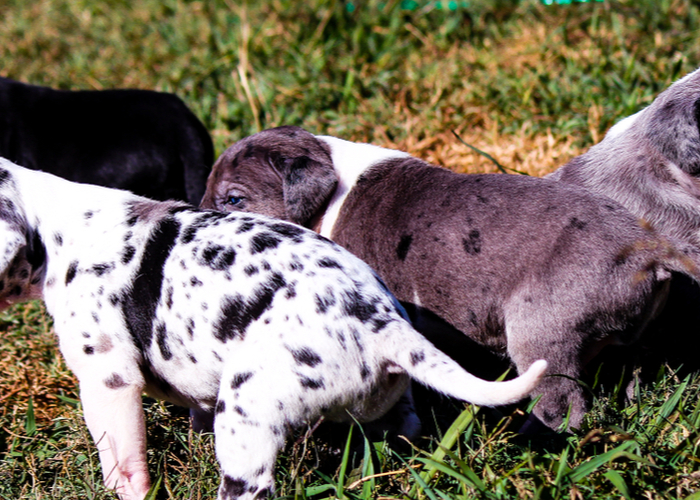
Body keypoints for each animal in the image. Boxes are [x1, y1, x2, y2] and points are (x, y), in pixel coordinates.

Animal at [0, 158, 548, 500]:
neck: (56, 226)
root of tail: (382, 325)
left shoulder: (108, 381)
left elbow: (121, 456)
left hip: (248, 420)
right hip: (384, 405)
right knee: (404, 430)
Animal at [200, 127, 692, 432]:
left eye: (234, 199)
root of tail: (649, 251)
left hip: (543, 331)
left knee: (562, 402)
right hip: (634, 333)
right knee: (633, 367)